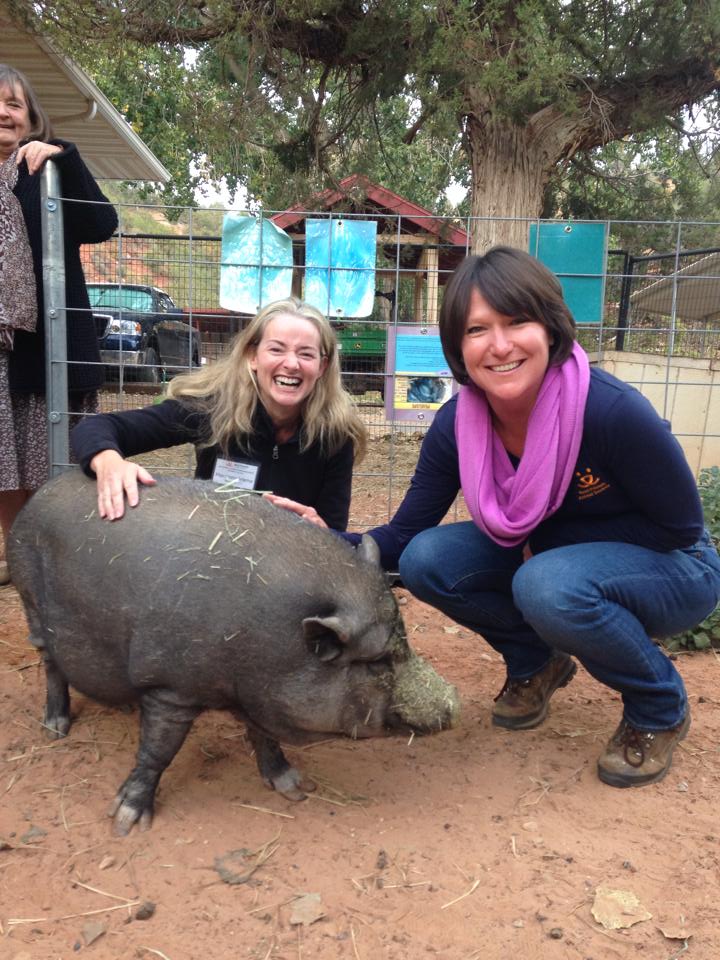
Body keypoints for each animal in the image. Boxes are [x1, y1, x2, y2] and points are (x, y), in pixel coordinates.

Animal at [8, 472, 460, 835]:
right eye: (377, 661)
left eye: (404, 639)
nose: (452, 706)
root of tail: (40, 495)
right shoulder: (172, 688)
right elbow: (158, 750)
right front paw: (126, 823)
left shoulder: (257, 694)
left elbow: (264, 737)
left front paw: (296, 789)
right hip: (31, 600)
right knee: (51, 664)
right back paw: (55, 729)